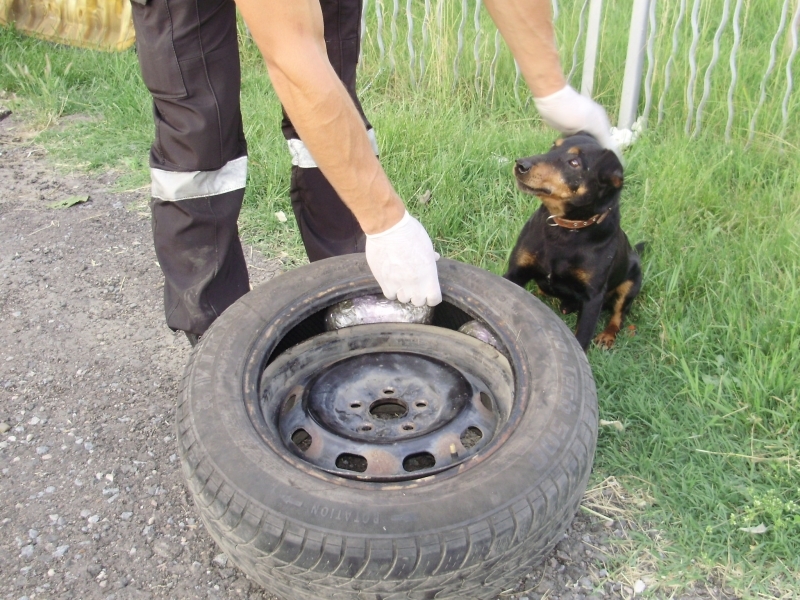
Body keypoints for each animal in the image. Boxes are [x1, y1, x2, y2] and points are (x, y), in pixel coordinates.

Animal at [506, 130, 644, 346]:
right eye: (553, 147)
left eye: (574, 162)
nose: (521, 164)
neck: (565, 230)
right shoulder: (516, 271)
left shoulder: (593, 298)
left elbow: (582, 337)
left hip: (632, 282)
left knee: (618, 315)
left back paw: (607, 336)